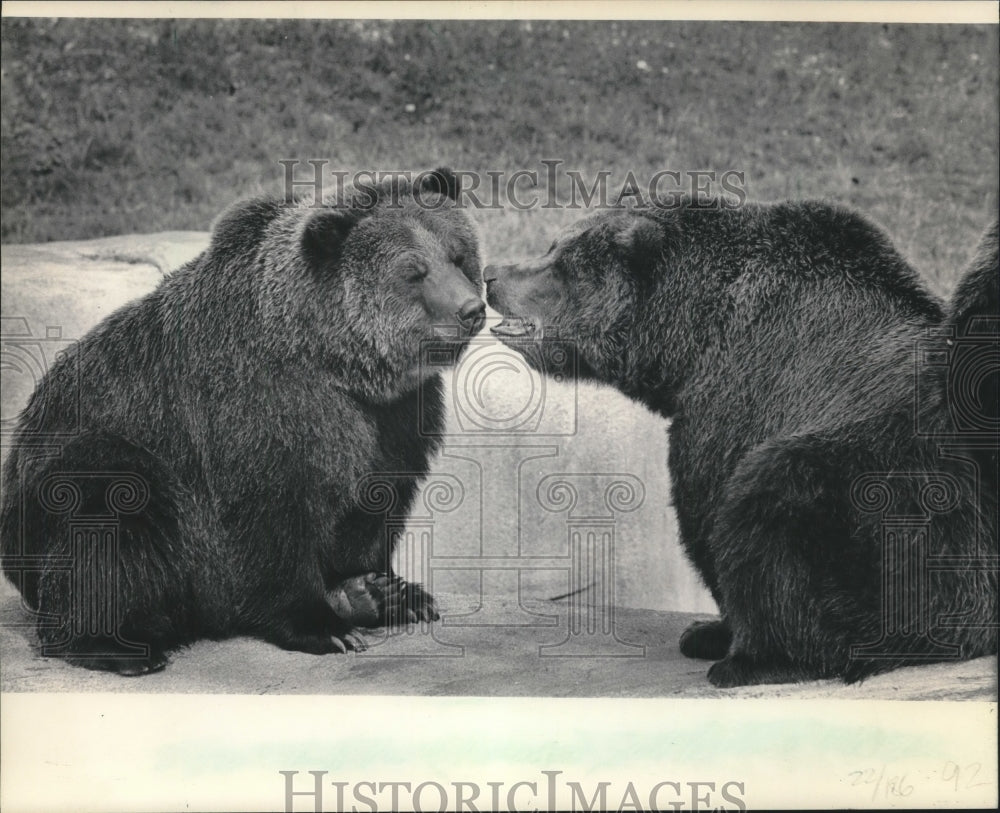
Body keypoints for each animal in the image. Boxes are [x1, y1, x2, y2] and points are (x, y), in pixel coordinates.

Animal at [0, 167, 485, 675]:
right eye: (414, 272)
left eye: (458, 255)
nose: (471, 309)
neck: (336, 363)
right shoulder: (256, 407)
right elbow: (271, 517)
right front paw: (323, 625)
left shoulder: (394, 416)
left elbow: (376, 496)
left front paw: (383, 590)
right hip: (77, 473)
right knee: (110, 506)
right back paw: (119, 644)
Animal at [485, 199, 998, 687]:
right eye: (552, 246)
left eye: (559, 261)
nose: (492, 275)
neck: (687, 340)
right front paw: (705, 630)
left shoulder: (734, 398)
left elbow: (707, 512)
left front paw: (711, 632)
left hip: (883, 494)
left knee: (767, 511)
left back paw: (757, 661)